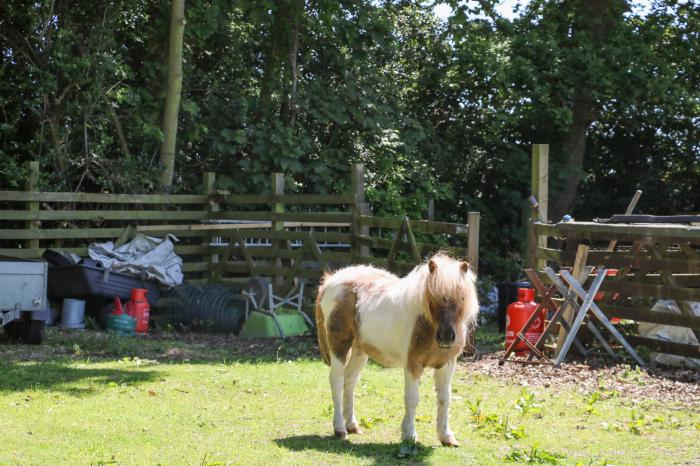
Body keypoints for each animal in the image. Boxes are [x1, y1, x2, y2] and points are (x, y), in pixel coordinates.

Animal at [318, 253, 482, 446]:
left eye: (462, 298)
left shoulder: (446, 365)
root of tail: (330, 281)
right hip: (339, 346)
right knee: (336, 381)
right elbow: (412, 399)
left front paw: (446, 436)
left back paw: (352, 426)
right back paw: (339, 429)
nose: (446, 336)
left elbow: (444, 399)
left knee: (349, 381)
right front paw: (409, 435)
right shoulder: (413, 364)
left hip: (359, 351)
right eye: (432, 298)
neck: (425, 323)